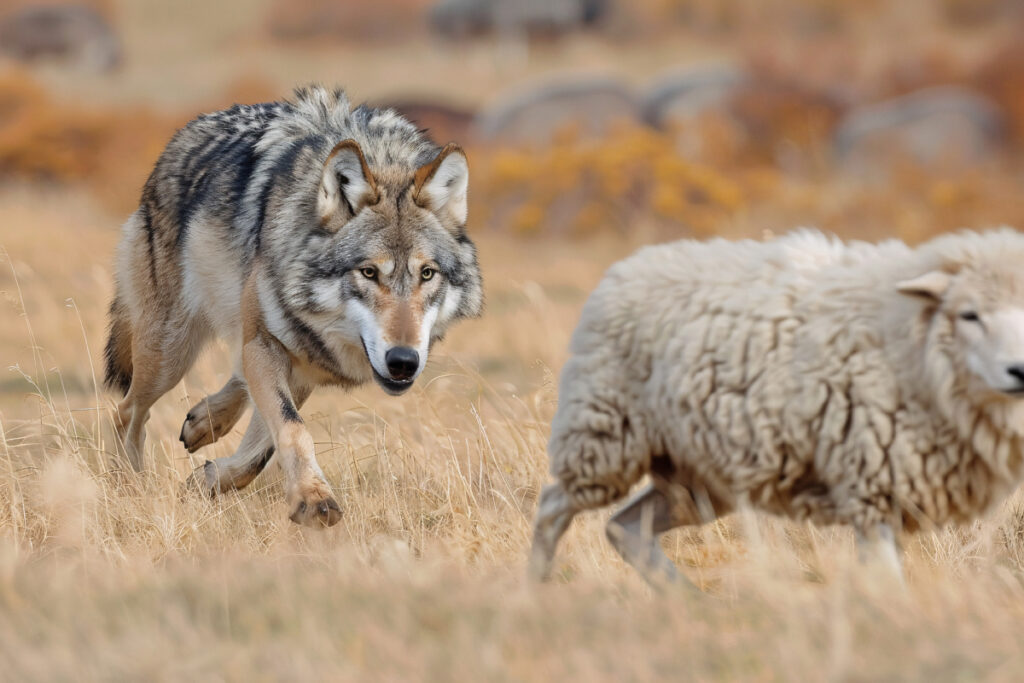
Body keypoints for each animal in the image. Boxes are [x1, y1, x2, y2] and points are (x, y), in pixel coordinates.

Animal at [104, 86, 483, 527]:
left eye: (427, 274)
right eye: (369, 272)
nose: (403, 361)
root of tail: (182, 136)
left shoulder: (301, 366)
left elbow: (262, 450)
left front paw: (207, 480)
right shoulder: (269, 345)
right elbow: (291, 429)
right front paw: (313, 499)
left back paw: (205, 422)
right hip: (169, 353)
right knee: (128, 411)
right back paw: (128, 486)